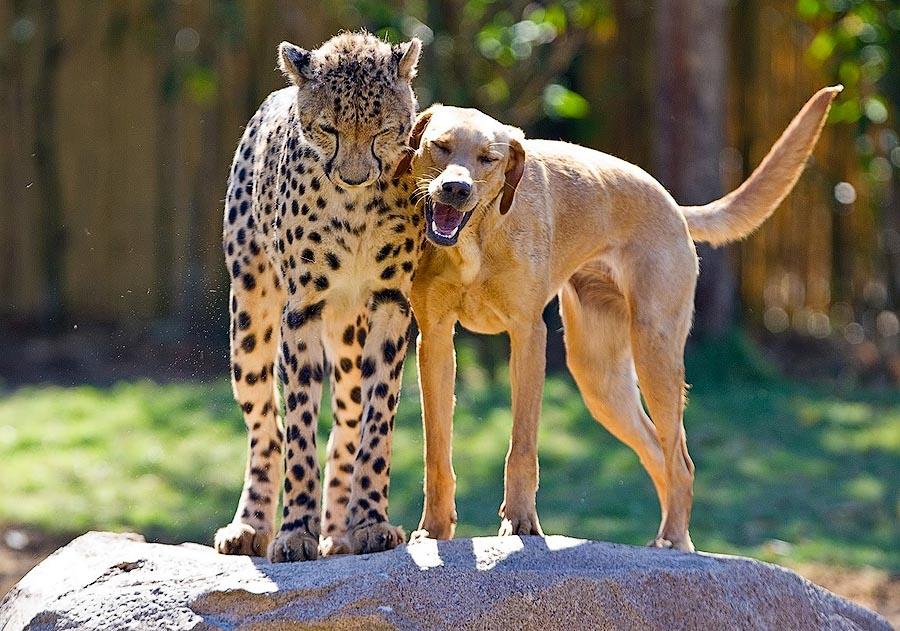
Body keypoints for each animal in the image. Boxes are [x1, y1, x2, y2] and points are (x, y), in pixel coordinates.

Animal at [216, 30, 428, 564]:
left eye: (382, 131)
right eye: (328, 129)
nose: (353, 176)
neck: (354, 208)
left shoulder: (391, 304)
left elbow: (376, 424)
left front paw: (369, 521)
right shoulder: (302, 310)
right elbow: (299, 430)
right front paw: (294, 531)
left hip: (350, 334)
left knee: (346, 428)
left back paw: (339, 532)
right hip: (250, 317)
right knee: (265, 429)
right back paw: (250, 526)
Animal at [400, 85, 844, 552]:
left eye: (488, 158)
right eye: (441, 146)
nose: (455, 189)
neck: (475, 240)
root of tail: (672, 205)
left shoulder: (527, 336)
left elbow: (521, 446)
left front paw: (521, 523)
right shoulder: (434, 340)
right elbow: (436, 452)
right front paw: (434, 530)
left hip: (654, 354)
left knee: (680, 461)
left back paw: (672, 540)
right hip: (601, 381)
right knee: (658, 453)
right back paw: (675, 540)